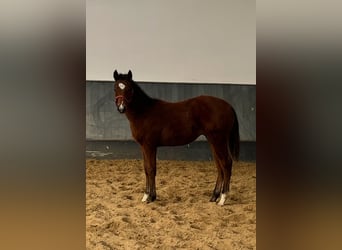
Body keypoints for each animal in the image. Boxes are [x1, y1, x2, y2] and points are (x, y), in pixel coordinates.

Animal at [113, 70, 239, 205]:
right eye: (115, 88)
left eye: (129, 89)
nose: (121, 108)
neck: (144, 112)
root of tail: (228, 106)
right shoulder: (143, 147)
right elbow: (146, 169)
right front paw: (147, 196)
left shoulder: (149, 146)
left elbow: (151, 169)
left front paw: (150, 197)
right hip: (213, 141)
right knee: (219, 167)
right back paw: (214, 196)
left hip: (219, 140)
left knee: (226, 163)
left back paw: (223, 198)